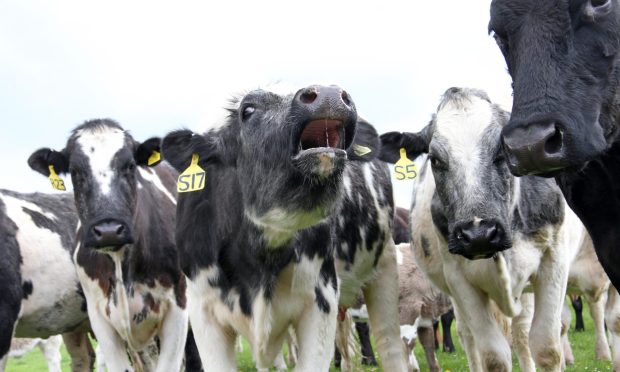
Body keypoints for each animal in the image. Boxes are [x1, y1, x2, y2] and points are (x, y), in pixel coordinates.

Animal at [162, 85, 410, 372]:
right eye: (248, 109)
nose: (328, 93)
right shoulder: (203, 310)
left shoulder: (321, 298)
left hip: (385, 265)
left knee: (389, 343)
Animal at [380, 88, 580, 372]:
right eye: (435, 159)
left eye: (503, 150)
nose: (478, 235)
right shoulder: (459, 279)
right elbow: (494, 356)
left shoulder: (553, 261)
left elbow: (546, 348)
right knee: (468, 335)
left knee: (521, 334)